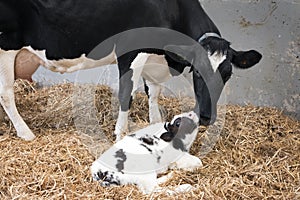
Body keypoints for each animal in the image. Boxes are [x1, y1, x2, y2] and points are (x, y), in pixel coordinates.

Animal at [0, 0, 262, 141]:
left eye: (227, 74)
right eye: (197, 72)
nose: (207, 117)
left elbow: (153, 94)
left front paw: (156, 124)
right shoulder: (131, 51)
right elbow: (126, 94)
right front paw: (120, 134)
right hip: (5, 48)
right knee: (6, 94)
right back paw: (26, 133)